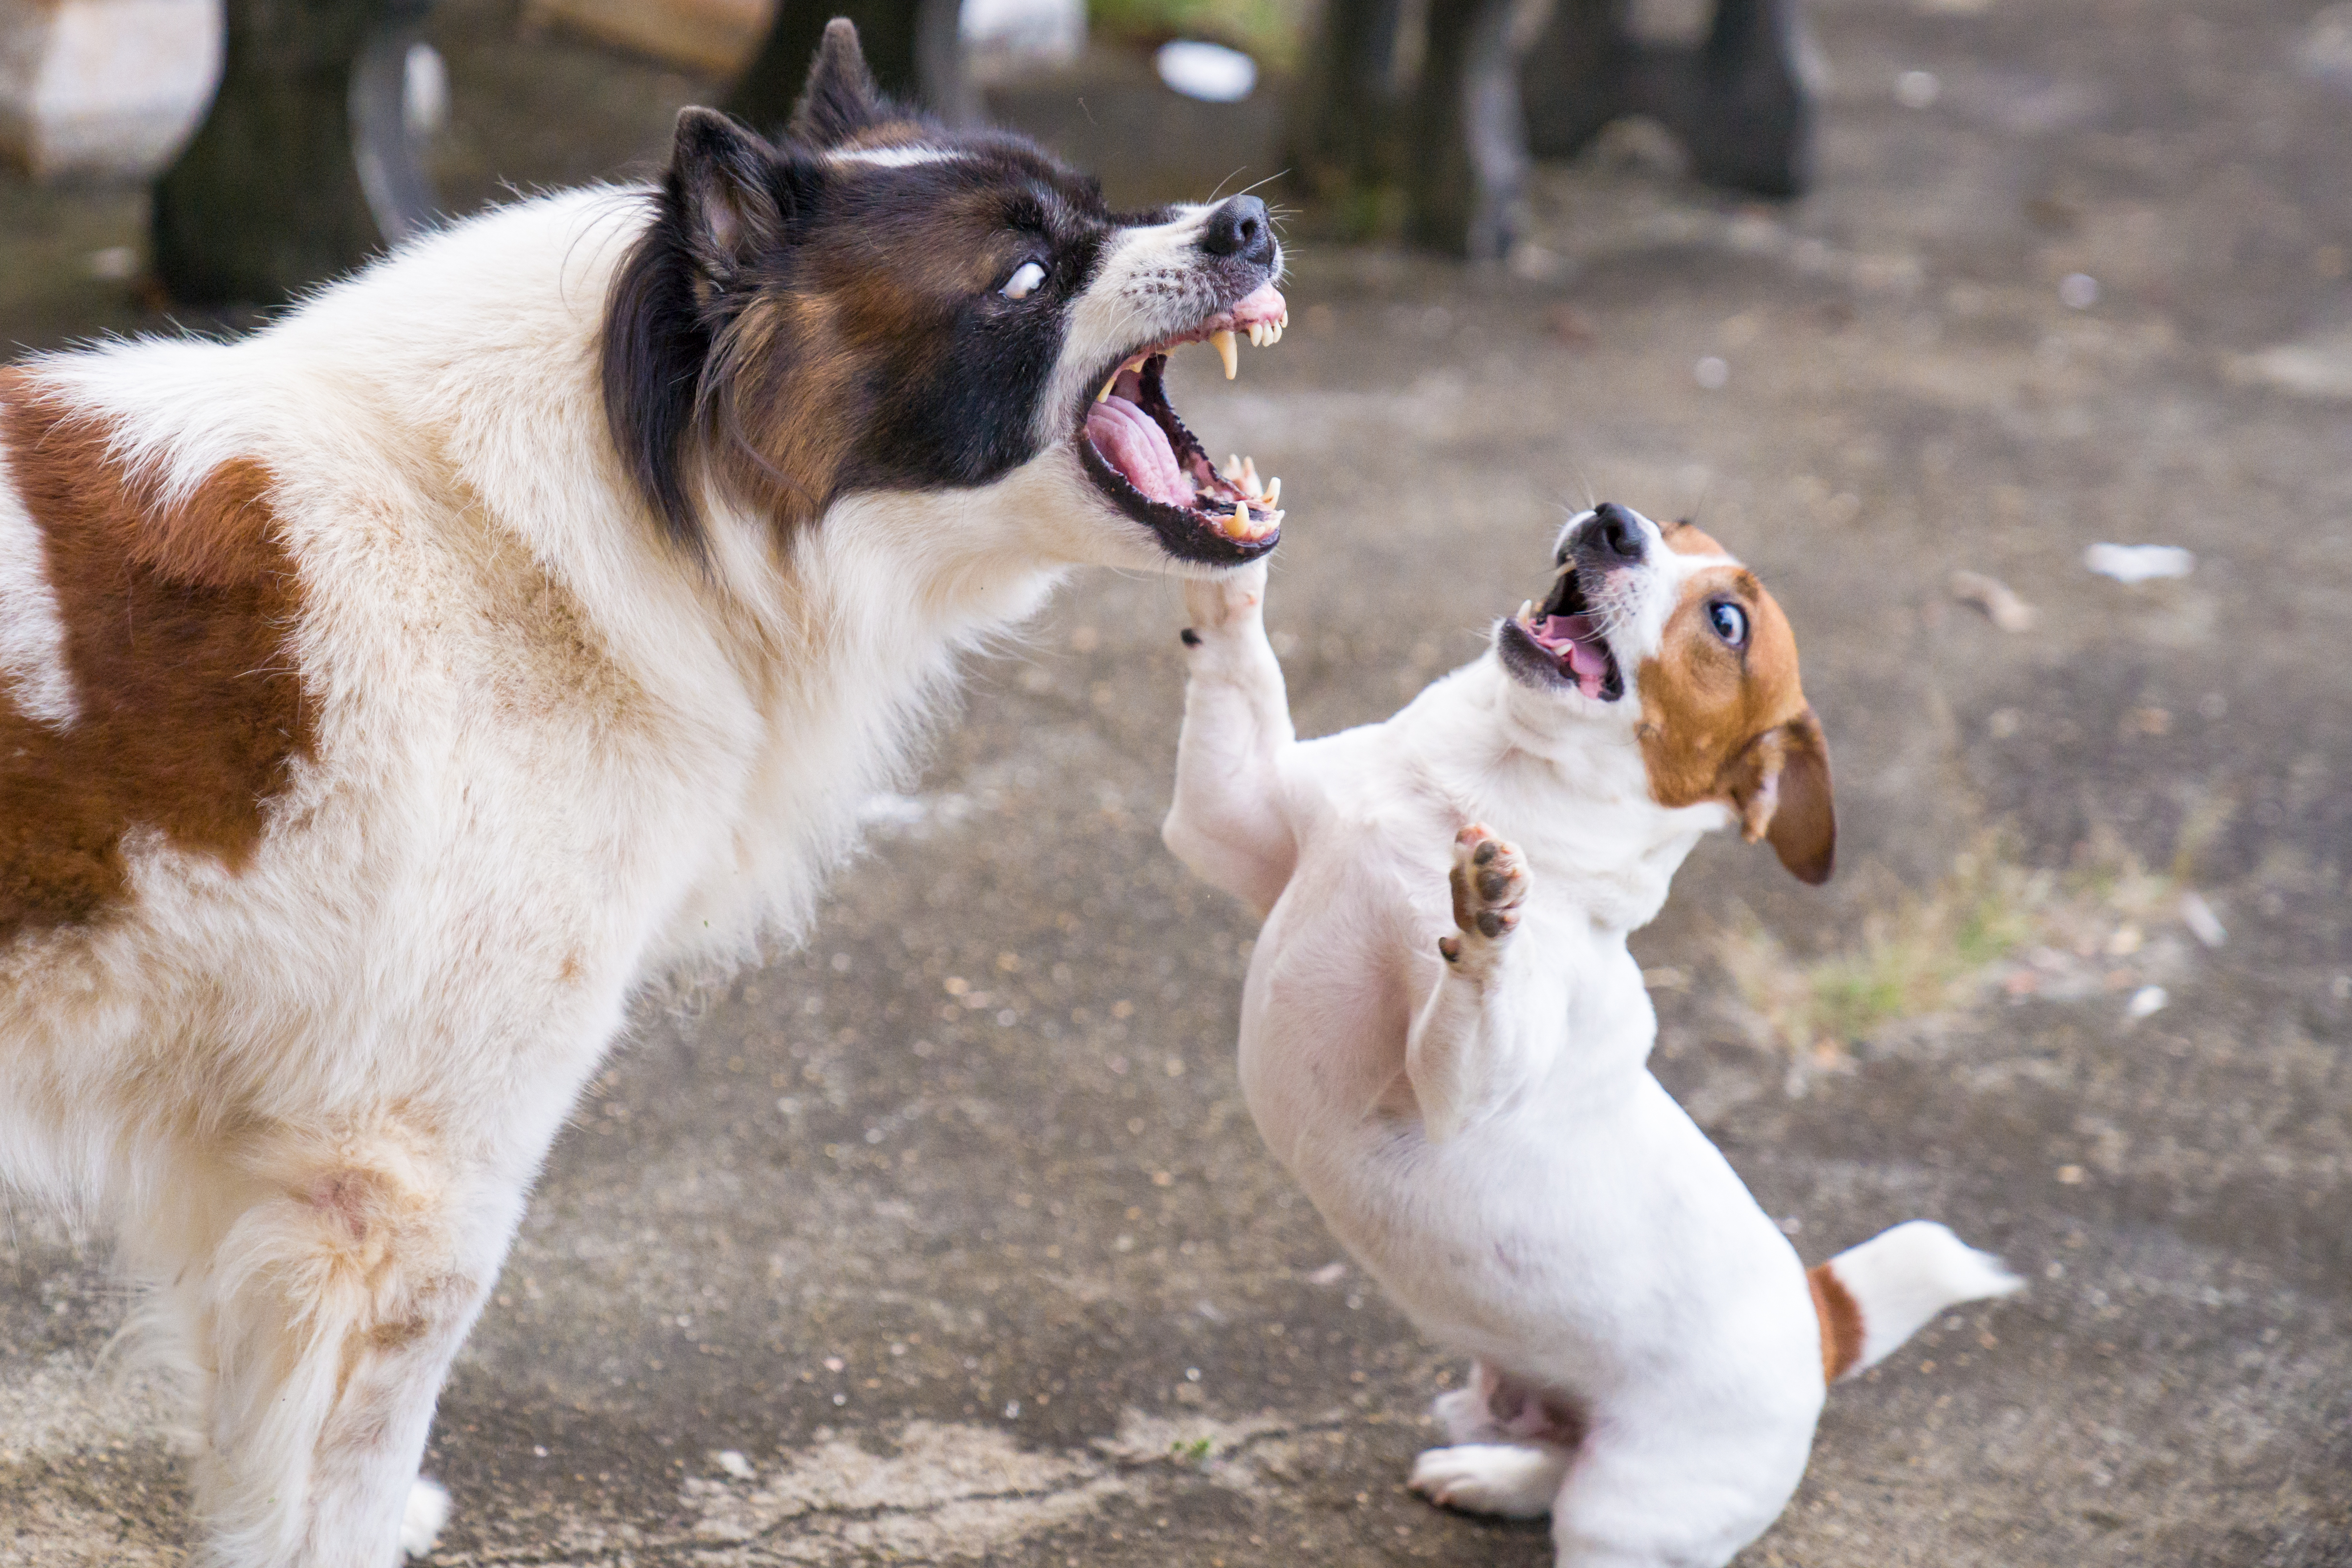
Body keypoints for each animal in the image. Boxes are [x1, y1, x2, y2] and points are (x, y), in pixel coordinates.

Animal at [0, 24, 1308, 1568]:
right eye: (1025, 276)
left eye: (1097, 208)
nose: (1245, 225)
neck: (616, 500)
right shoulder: (417, 1170)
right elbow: (356, 1444)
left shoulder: (267, 1154)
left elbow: (257, 1418)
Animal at [1167, 505, 2032, 1568]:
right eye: (1673, 524)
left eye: (1728, 622)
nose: (1612, 522)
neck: (1468, 787)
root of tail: (1820, 1320)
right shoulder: (1228, 824)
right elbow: (1239, 670)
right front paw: (1227, 555)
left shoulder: (1454, 1088)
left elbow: (1474, 986)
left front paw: (1492, 915)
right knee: (1549, 1461)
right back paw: (1487, 1474)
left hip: (1625, 1512)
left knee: (1586, 1514)